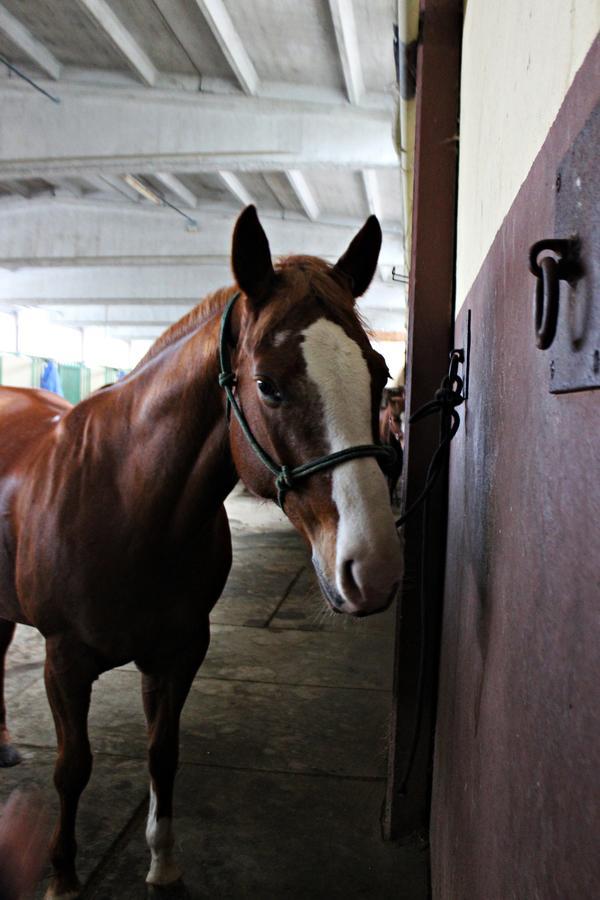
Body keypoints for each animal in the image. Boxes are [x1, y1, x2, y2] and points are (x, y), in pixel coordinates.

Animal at [1, 206, 404, 900]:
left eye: (378, 374)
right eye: (268, 386)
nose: (373, 568)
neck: (127, 501)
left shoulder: (180, 652)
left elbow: (164, 753)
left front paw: (163, 864)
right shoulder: (63, 660)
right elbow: (72, 768)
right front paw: (62, 875)